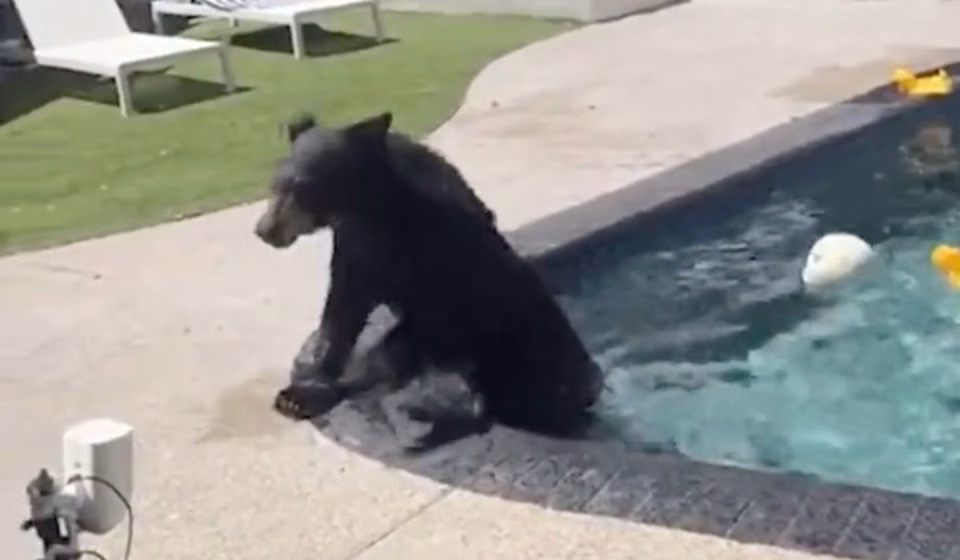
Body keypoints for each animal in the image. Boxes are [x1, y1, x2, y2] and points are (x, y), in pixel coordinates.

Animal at [254, 111, 605, 449]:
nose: (265, 230)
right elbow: (342, 310)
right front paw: (306, 384)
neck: (375, 206)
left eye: (303, 186)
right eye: (275, 183)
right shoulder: (355, 246)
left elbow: (402, 331)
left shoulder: (439, 264)